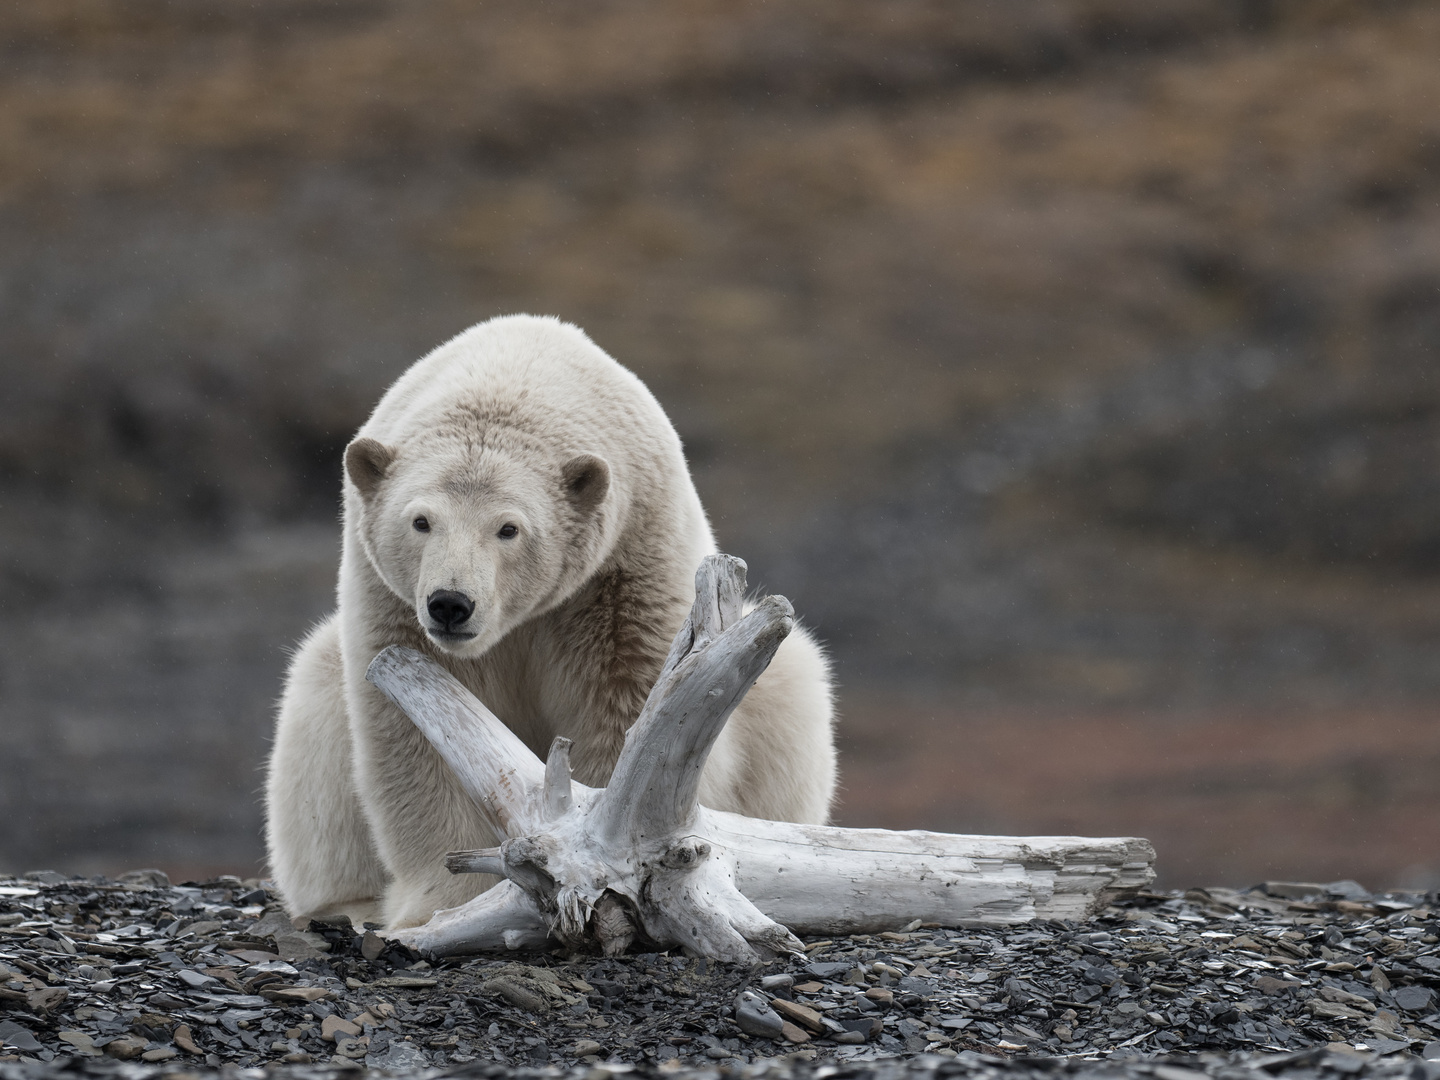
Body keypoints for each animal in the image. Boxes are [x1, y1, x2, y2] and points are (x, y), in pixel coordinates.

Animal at [264, 312, 840, 933]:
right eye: (420, 520)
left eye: (508, 528)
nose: (450, 603)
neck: (519, 372)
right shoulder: (394, 609)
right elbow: (417, 736)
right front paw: (448, 900)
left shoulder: (621, 577)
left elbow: (623, 711)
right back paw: (344, 905)